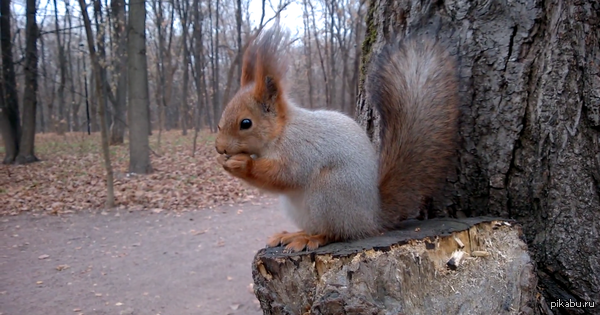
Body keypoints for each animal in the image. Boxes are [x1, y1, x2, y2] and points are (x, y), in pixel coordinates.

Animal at [216, 25, 460, 253]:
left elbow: (285, 175)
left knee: (335, 233)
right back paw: (294, 234)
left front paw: (241, 164)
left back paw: (311, 239)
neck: (281, 132)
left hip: (330, 191)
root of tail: (371, 218)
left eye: (245, 123)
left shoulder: (301, 150)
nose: (220, 148)